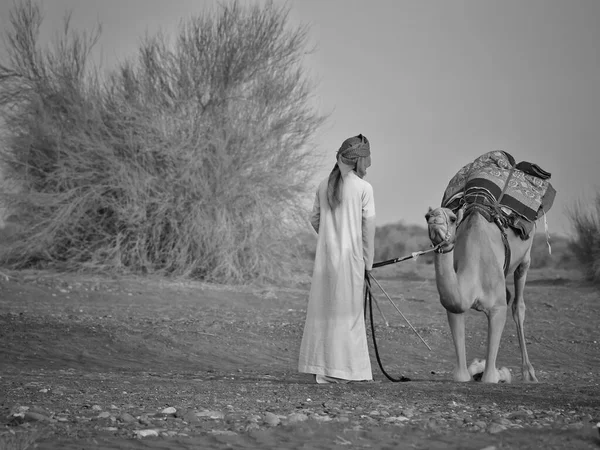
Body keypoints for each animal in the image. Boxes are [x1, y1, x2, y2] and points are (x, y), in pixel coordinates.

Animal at [426, 204, 540, 384]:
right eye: (426, 216)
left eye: (452, 218)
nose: (435, 219)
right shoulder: (455, 308)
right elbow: (461, 376)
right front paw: (477, 366)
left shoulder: (498, 308)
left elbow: (490, 378)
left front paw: (501, 373)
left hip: (525, 258)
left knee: (518, 305)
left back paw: (529, 374)